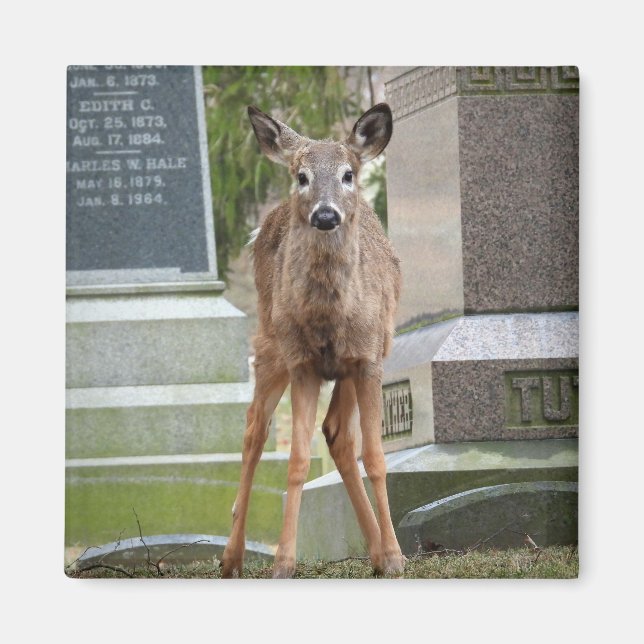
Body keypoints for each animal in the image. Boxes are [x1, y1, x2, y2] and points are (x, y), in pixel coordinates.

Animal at [221, 103, 405, 579]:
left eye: (348, 174)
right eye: (302, 176)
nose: (325, 215)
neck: (330, 319)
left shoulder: (367, 359)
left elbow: (375, 458)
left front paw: (395, 556)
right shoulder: (302, 363)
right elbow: (297, 461)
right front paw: (284, 562)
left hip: (348, 365)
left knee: (336, 432)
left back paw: (377, 550)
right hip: (270, 345)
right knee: (254, 430)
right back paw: (231, 557)